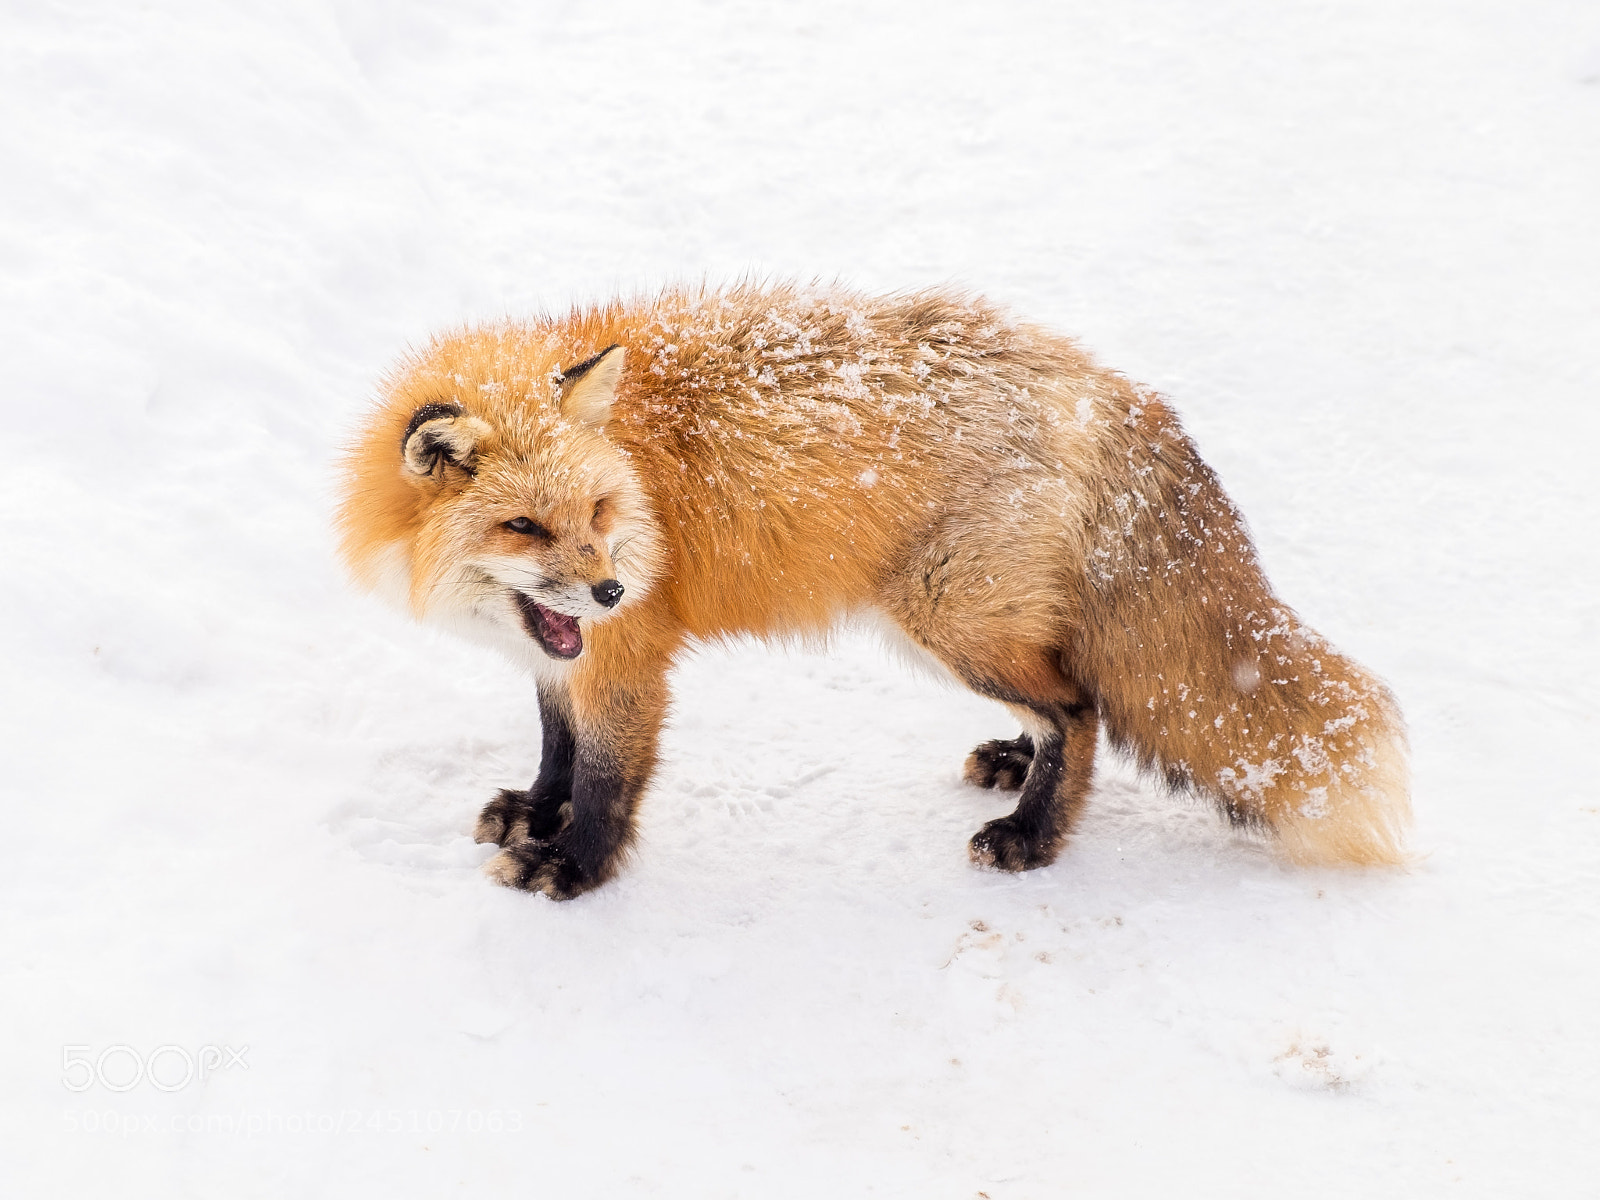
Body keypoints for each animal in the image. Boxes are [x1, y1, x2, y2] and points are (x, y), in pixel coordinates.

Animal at [336, 281, 1410, 900]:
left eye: (598, 509)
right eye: (524, 526)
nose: (610, 590)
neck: (639, 469)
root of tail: (1104, 385)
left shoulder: (629, 660)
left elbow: (605, 776)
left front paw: (574, 865)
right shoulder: (562, 654)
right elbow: (557, 746)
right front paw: (535, 810)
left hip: (945, 615)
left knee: (1080, 706)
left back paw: (1033, 837)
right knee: (1064, 698)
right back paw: (1017, 766)